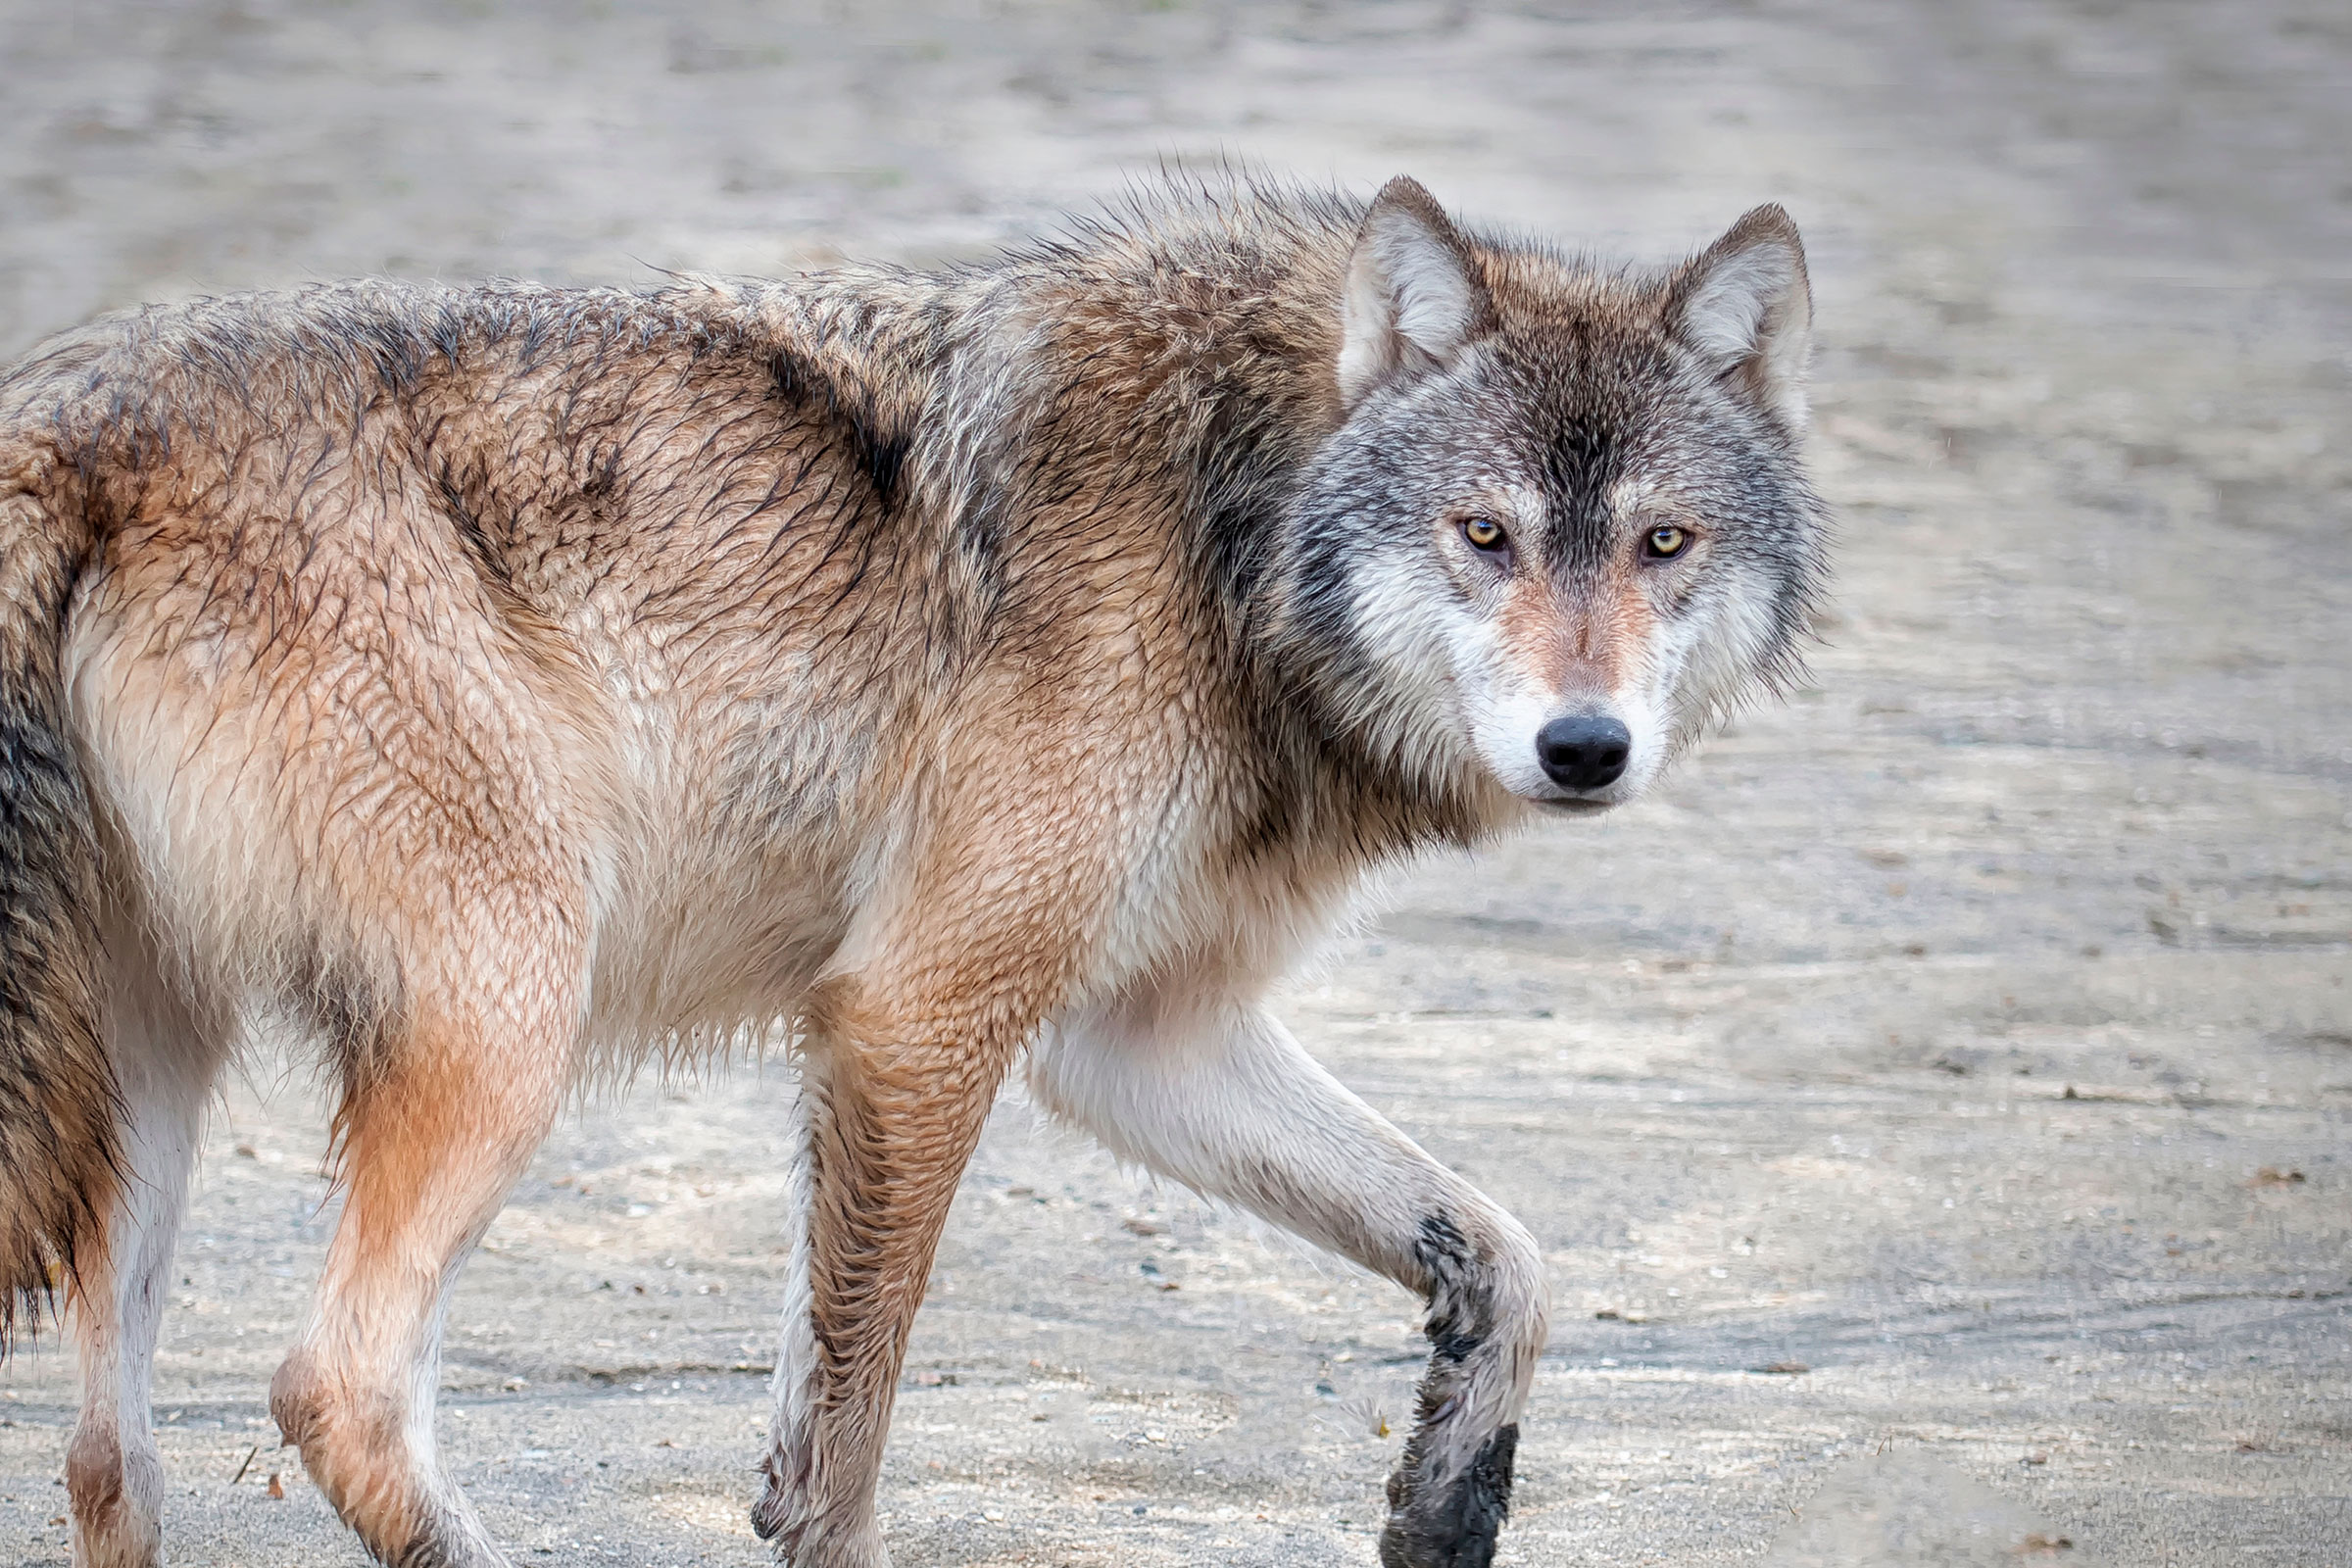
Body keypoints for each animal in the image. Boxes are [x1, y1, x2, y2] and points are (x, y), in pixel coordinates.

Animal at [0, 171, 1823, 1567]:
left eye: (1661, 544)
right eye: (1485, 536)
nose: (1584, 748)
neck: (1228, 525)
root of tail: (73, 419)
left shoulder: (1140, 1043)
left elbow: (1508, 1255)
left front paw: (1451, 1499)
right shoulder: (917, 1016)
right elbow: (846, 1445)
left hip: (153, 1092)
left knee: (107, 1464)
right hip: (506, 1028)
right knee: (336, 1390)